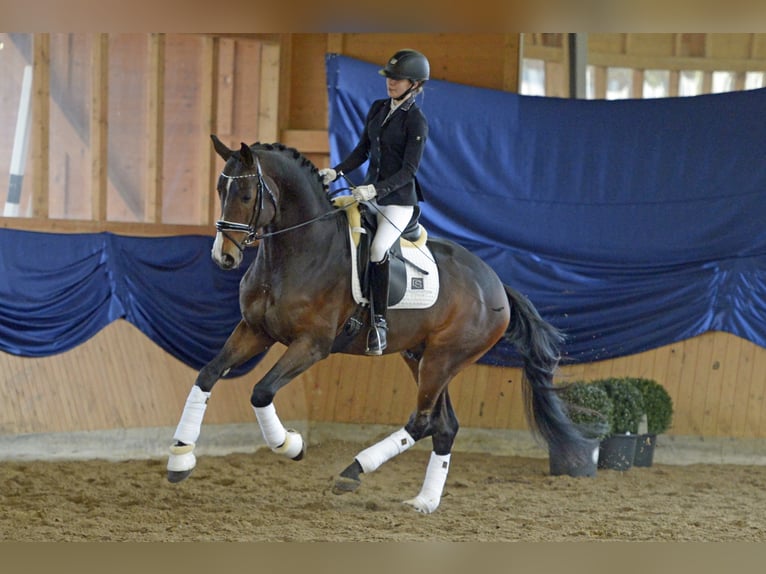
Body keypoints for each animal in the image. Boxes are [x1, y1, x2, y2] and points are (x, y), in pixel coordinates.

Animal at [170, 137, 592, 516]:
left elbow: (261, 391)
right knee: (444, 426)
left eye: (245, 193)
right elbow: (207, 375)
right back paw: (424, 502)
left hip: (445, 357)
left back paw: (353, 470)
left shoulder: (312, 345)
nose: (223, 257)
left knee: (422, 421)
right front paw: (180, 459)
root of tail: (496, 284)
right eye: (220, 188)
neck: (297, 251)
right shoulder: (255, 331)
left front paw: (290, 445)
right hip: (422, 356)